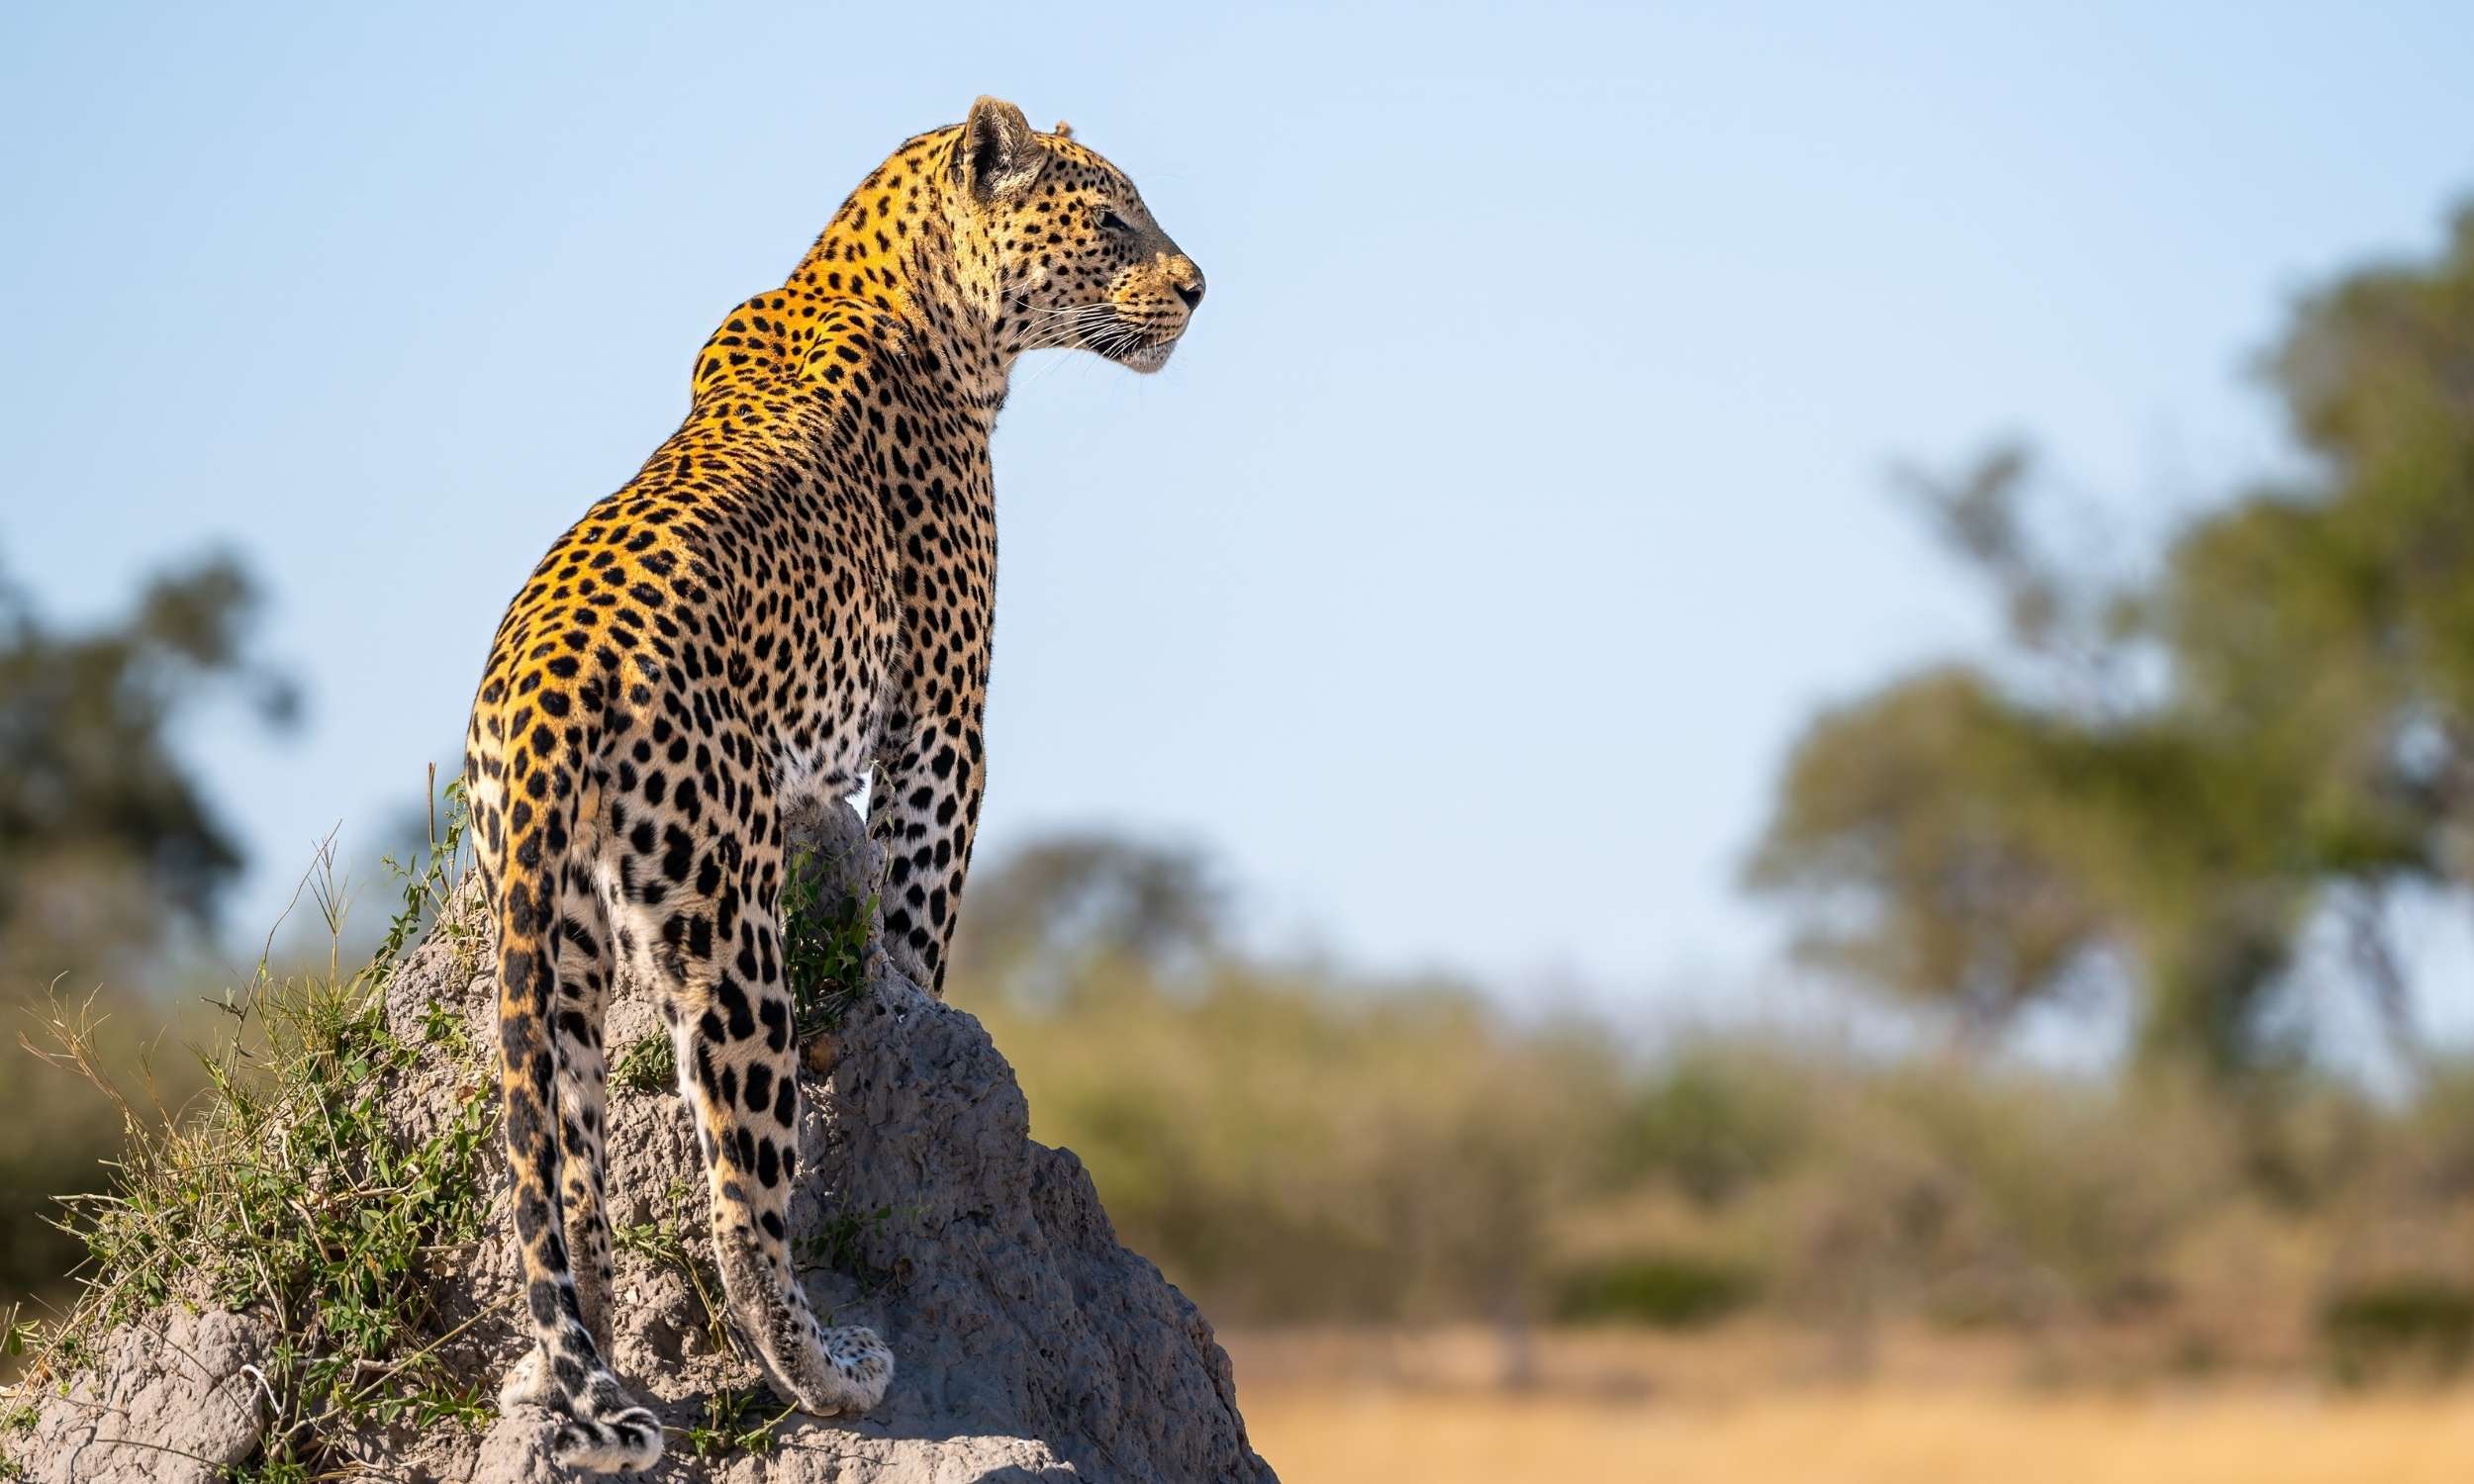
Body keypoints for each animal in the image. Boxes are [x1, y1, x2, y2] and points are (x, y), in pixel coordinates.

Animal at [460, 96, 1204, 1472]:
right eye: (1111, 218)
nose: (1195, 285)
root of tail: (545, 684)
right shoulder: (943, 723)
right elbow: (918, 921)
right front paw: (917, 1013)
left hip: (553, 946)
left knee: (570, 1184)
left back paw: (567, 1385)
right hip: (726, 940)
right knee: (740, 1210)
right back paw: (834, 1377)